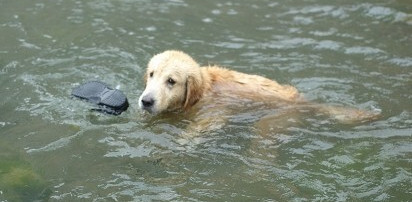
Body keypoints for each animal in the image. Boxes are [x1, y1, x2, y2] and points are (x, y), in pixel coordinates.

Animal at [138, 50, 380, 135]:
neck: (204, 92)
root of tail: (303, 101)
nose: (146, 101)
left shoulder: (215, 112)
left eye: (171, 81)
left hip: (271, 122)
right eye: (151, 74)